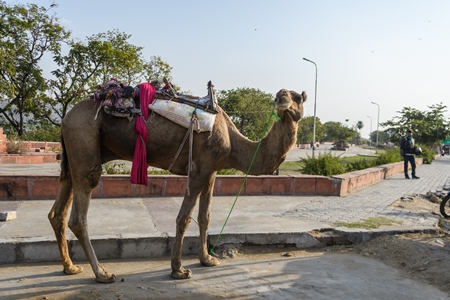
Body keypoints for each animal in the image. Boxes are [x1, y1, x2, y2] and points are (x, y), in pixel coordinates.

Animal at [47, 87, 306, 284]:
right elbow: (184, 218)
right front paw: (178, 270)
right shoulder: (199, 170)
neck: (234, 144)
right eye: (284, 94)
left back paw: (70, 267)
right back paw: (101, 273)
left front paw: (207, 260)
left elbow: (205, 216)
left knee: (58, 210)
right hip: (84, 137)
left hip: (76, 153)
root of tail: (66, 119)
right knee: (79, 212)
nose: (281, 97)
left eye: (299, 97)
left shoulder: (212, 170)